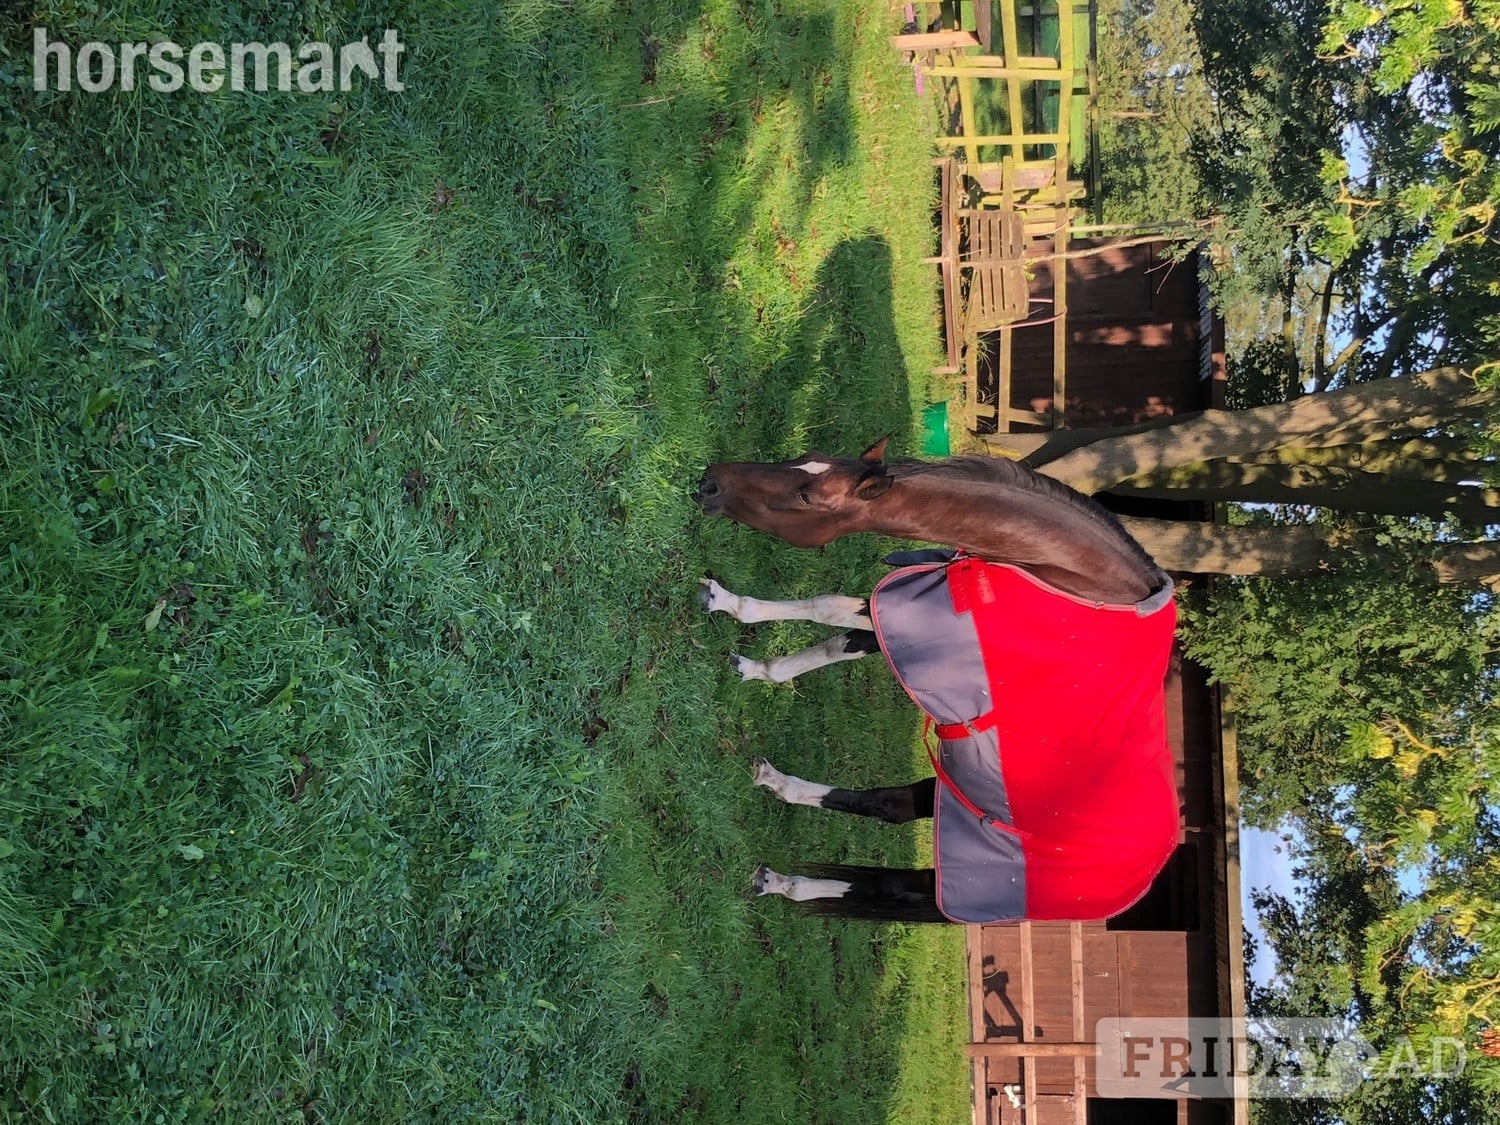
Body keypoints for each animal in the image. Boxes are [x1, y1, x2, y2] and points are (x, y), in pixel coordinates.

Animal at [694, 440, 1181, 923]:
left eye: (806, 496)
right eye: (801, 458)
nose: (710, 482)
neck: (1086, 584)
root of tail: (1145, 877)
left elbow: (830, 614)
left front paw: (738, 621)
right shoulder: (908, 610)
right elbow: (832, 616)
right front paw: (747, 639)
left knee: (896, 885)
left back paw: (784, 882)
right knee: (887, 808)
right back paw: (778, 796)